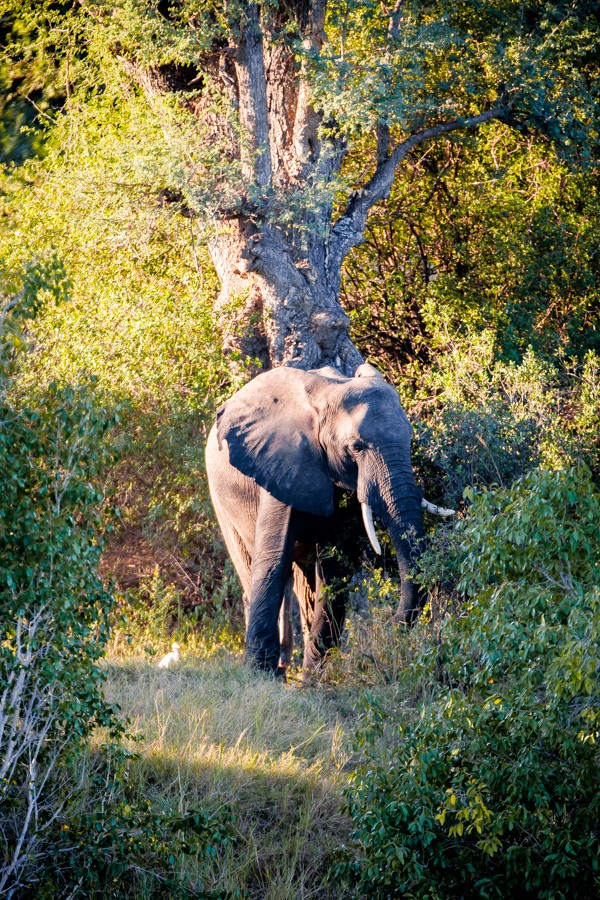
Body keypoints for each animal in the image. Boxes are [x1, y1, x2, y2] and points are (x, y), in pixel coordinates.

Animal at [204, 360, 452, 676]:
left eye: (409, 439)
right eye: (356, 447)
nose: (389, 625)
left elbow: (333, 570)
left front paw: (312, 678)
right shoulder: (281, 464)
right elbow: (273, 560)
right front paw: (260, 674)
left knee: (305, 586)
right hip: (220, 496)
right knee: (250, 568)